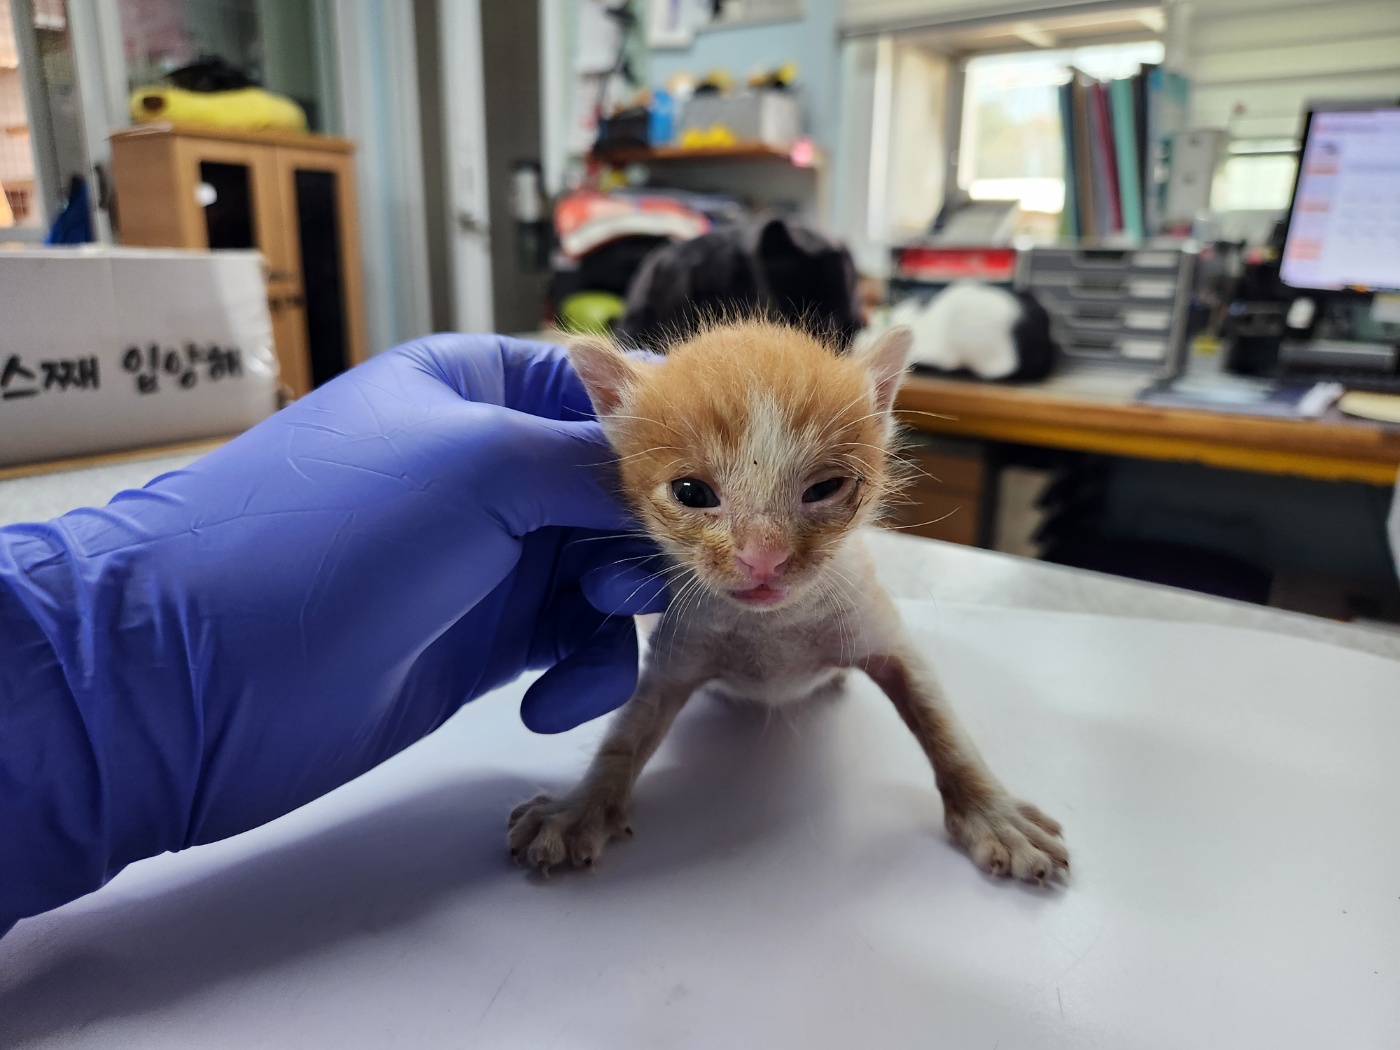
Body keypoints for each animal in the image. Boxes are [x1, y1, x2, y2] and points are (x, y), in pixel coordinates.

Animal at [509, 320, 1064, 890]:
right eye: (691, 492)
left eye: (825, 488)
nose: (763, 557)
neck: (773, 625)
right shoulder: (677, 649)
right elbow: (628, 732)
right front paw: (581, 807)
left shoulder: (879, 625)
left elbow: (942, 724)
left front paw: (993, 814)